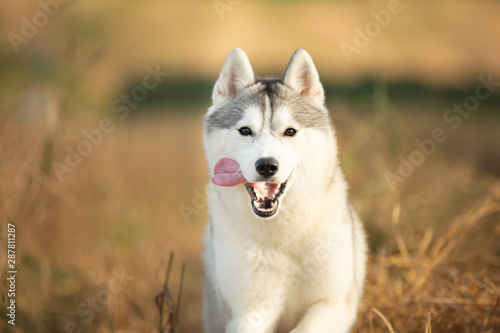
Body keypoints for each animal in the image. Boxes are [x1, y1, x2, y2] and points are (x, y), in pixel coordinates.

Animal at [200, 48, 368, 330]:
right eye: (245, 131)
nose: (267, 166)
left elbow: (306, 327)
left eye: (290, 132)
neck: (282, 235)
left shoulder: (334, 303)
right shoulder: (249, 311)